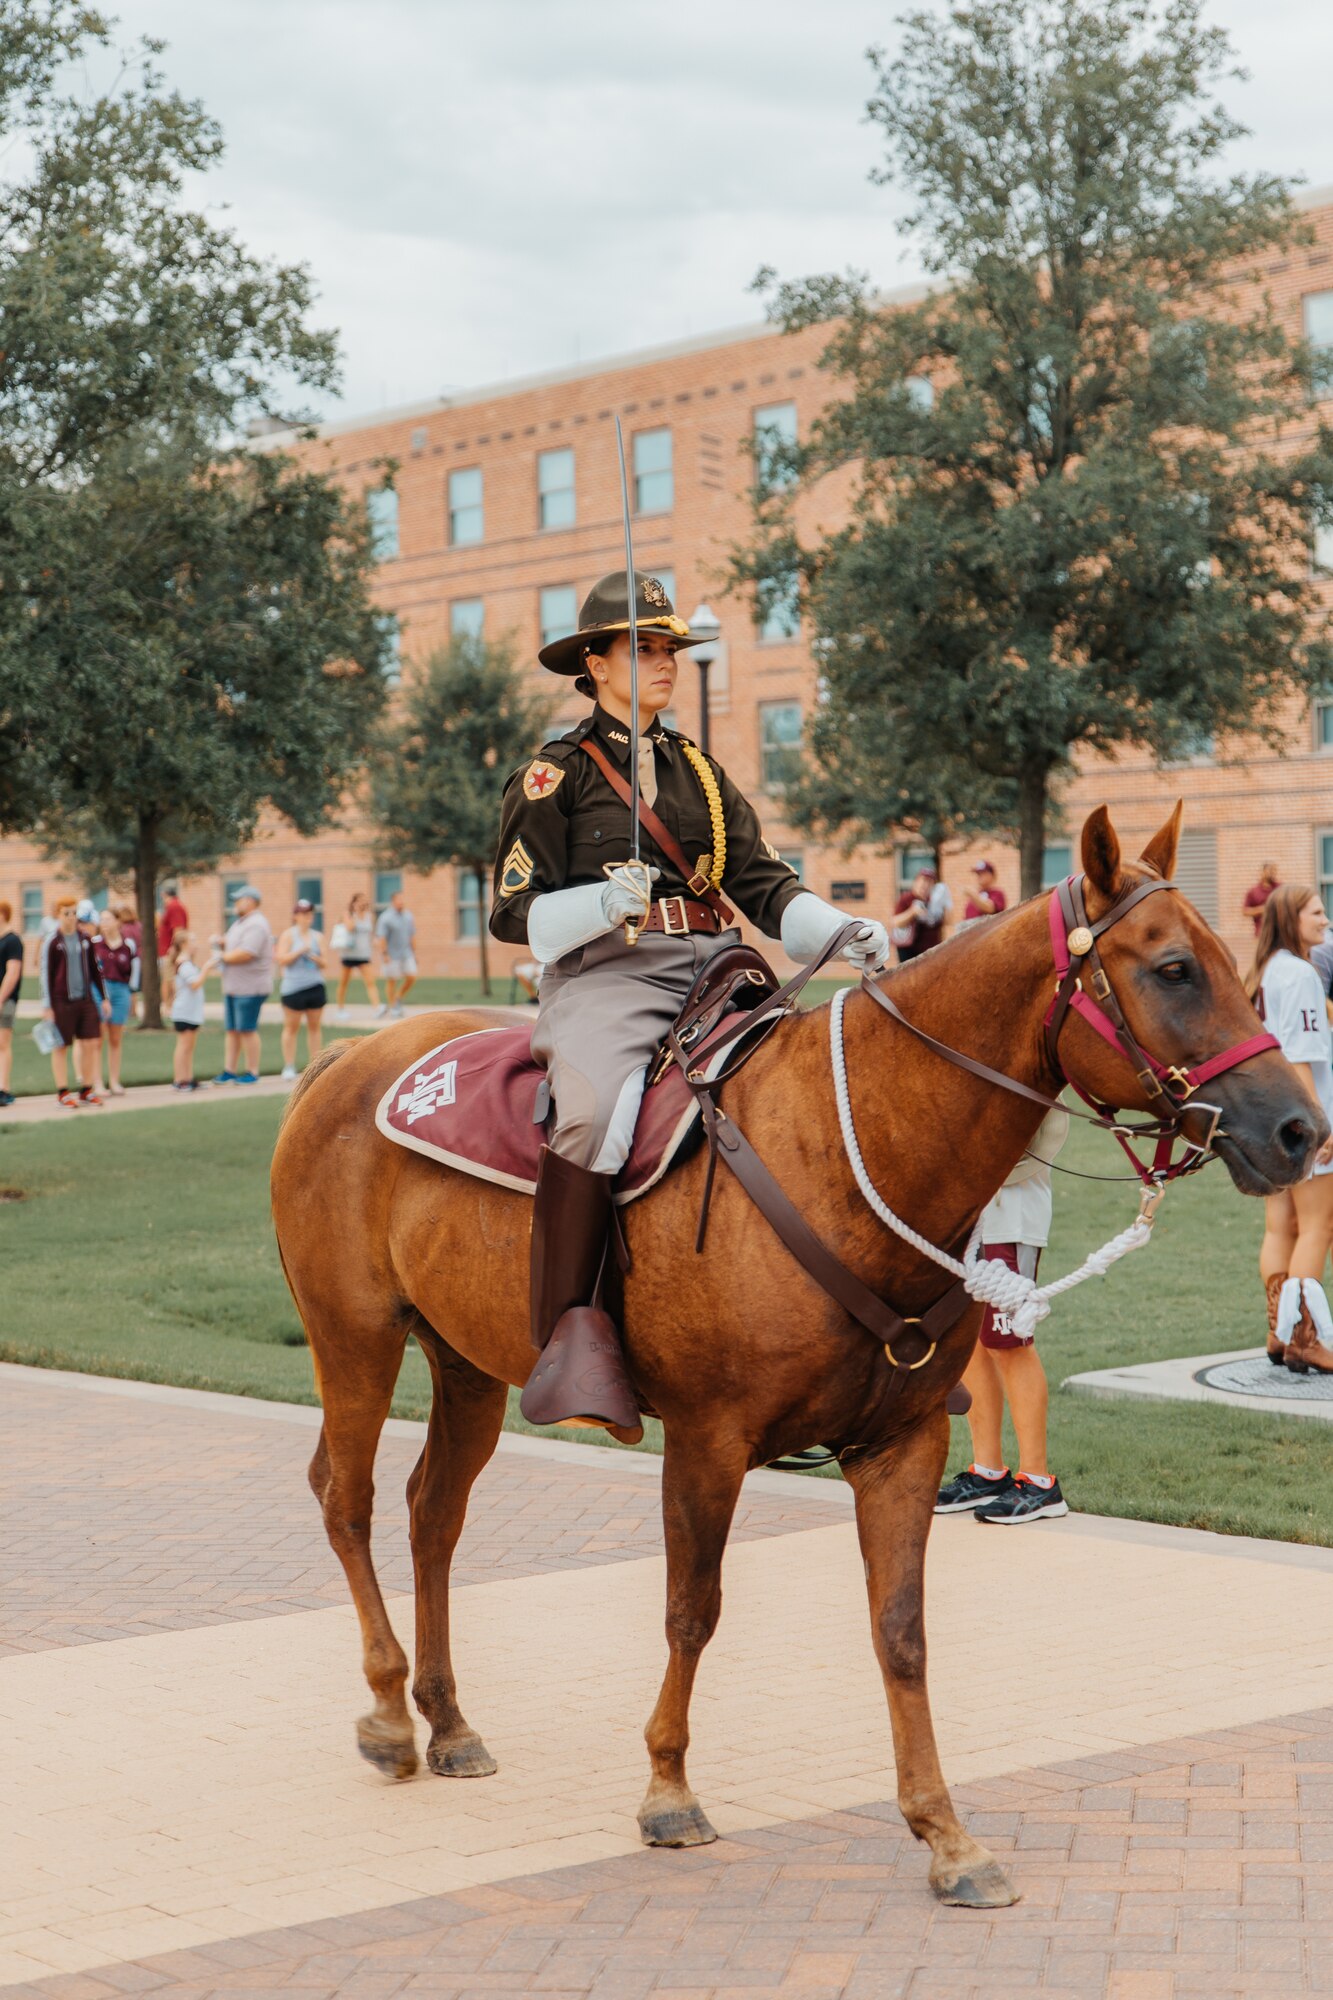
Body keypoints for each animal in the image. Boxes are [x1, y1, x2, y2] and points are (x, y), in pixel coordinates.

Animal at [272, 804, 1320, 1912]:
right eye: (1172, 968)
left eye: (1236, 964)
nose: (1300, 1129)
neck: (851, 1156)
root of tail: (343, 1062)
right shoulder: (706, 1439)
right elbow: (692, 1610)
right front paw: (668, 1788)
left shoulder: (901, 1444)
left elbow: (900, 1630)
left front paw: (945, 1833)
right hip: (354, 1338)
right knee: (347, 1497)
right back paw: (390, 1714)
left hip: (466, 1363)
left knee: (432, 1512)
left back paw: (447, 1718)